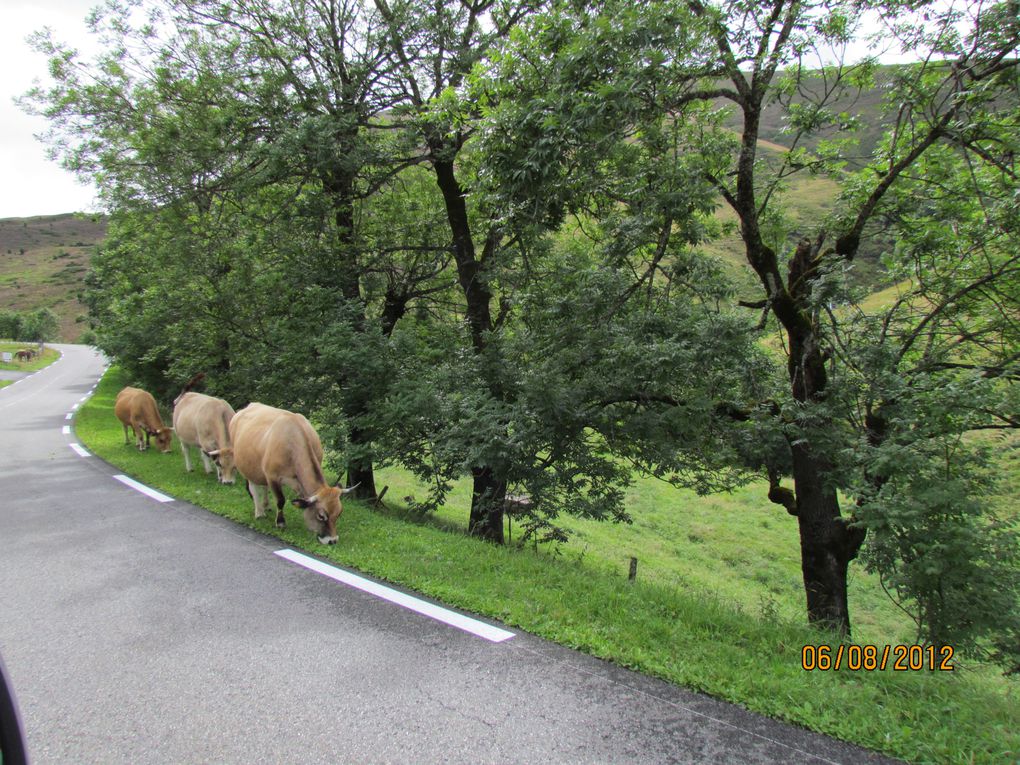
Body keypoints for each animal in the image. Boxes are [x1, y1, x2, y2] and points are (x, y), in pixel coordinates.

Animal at [230, 401, 359, 546]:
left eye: (339, 513)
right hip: (245, 464)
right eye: (321, 516)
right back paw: (259, 512)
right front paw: (280, 523)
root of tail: (250, 405)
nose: (332, 540)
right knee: (253, 487)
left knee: (264, 486)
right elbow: (281, 500)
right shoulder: (272, 477)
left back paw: (266, 506)